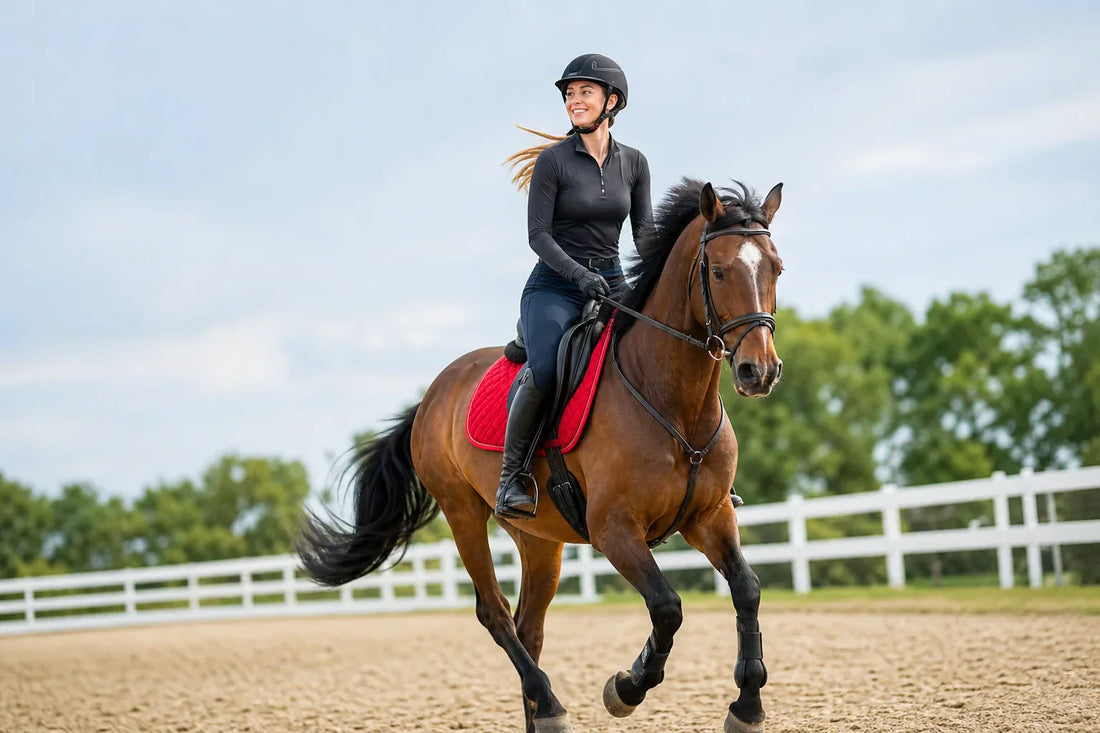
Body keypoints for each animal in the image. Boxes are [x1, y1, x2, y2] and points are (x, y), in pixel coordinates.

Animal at [297, 177, 784, 733]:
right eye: (719, 270)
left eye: (776, 268)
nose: (759, 371)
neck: (673, 402)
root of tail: (433, 394)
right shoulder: (613, 528)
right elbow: (667, 607)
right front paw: (626, 688)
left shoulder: (710, 515)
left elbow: (747, 588)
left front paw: (747, 706)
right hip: (463, 513)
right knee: (496, 614)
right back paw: (550, 704)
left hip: (539, 540)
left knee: (529, 627)